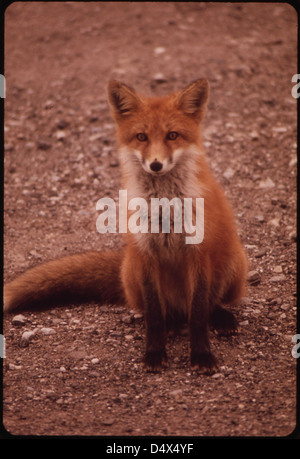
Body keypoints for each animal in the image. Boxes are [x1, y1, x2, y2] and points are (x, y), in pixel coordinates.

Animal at [4, 79, 246, 374]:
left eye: (172, 135)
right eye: (141, 137)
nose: (156, 164)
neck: (164, 208)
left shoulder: (198, 253)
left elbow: (199, 313)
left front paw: (201, 355)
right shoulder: (145, 254)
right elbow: (154, 314)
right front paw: (154, 353)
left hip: (234, 264)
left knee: (208, 305)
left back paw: (221, 318)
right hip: (132, 271)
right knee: (163, 312)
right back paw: (173, 323)